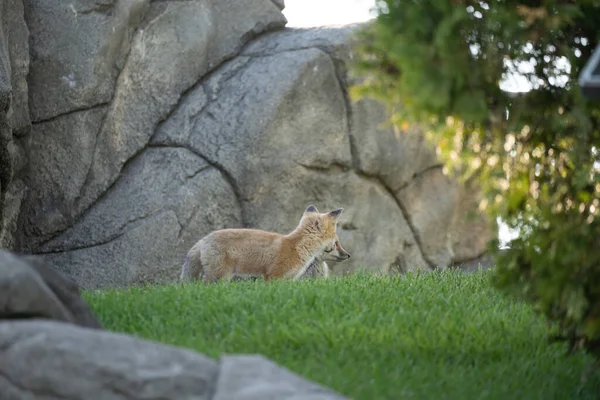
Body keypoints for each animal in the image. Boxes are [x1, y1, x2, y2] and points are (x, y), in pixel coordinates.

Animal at [178, 205, 346, 282]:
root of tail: (205, 238)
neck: (296, 247)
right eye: (336, 241)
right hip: (219, 277)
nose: (348, 255)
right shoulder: (274, 277)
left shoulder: (289, 280)